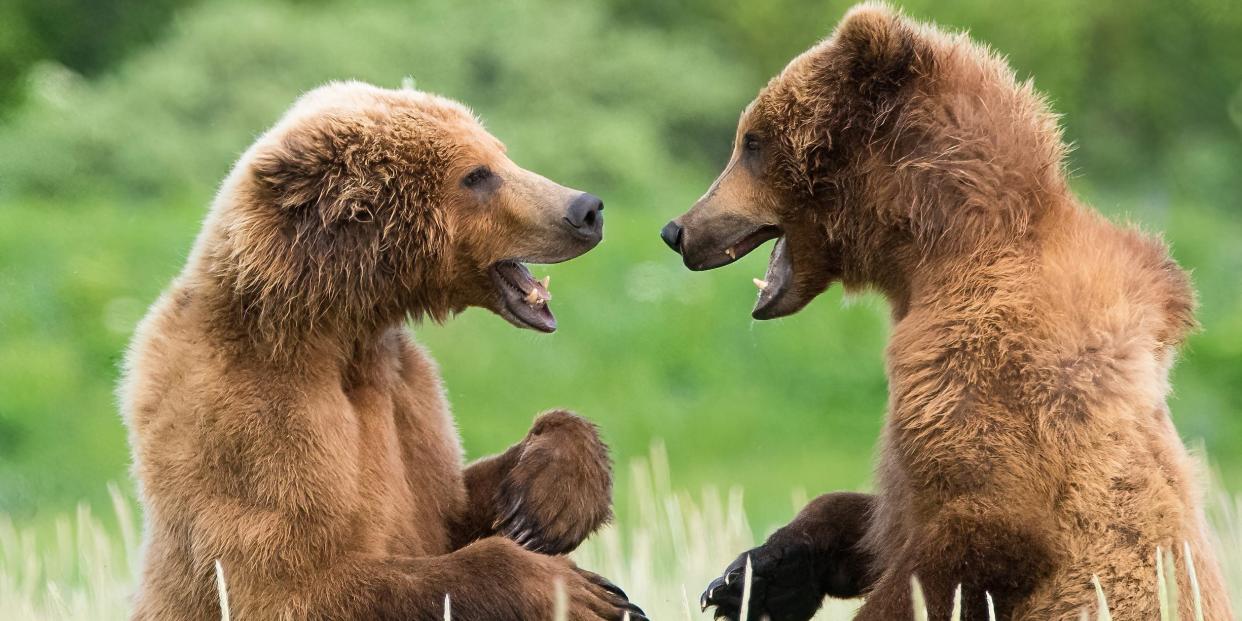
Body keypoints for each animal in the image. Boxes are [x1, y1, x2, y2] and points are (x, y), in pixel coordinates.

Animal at [121, 81, 650, 621]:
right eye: (477, 175)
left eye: (501, 154)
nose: (586, 209)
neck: (338, 331)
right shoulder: (250, 417)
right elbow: (287, 582)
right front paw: (577, 591)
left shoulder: (405, 391)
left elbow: (451, 500)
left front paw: (549, 502)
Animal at [660, 4, 1232, 621]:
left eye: (752, 142)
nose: (677, 229)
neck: (932, 252)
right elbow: (881, 518)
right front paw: (753, 576)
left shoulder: (984, 358)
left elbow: (985, 529)